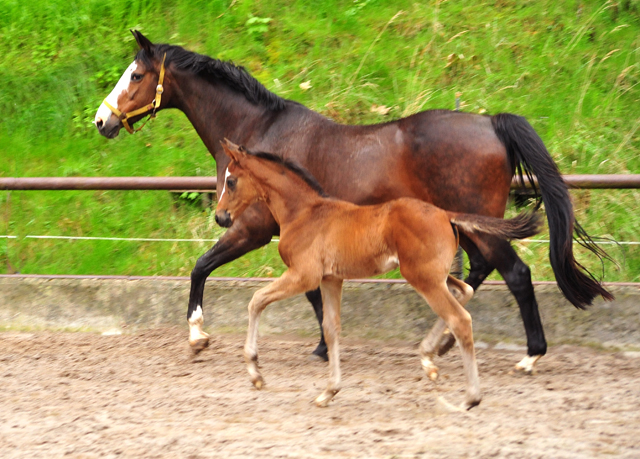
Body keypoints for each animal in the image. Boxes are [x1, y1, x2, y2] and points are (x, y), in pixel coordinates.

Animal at [94, 29, 608, 374]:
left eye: (136, 74)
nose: (102, 120)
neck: (258, 132)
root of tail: (490, 123)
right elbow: (313, 292)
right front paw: (324, 347)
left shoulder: (251, 228)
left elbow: (201, 267)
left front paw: (198, 336)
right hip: (465, 224)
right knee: (474, 273)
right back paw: (445, 342)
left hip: (480, 222)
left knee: (516, 274)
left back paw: (529, 357)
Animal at [215, 140, 540, 410]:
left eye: (231, 181)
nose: (220, 217)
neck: (304, 213)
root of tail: (446, 214)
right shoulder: (330, 279)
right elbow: (331, 329)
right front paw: (329, 392)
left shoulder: (304, 276)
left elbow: (256, 300)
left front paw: (256, 373)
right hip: (433, 274)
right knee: (464, 291)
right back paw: (428, 358)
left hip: (422, 276)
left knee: (459, 319)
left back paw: (470, 397)